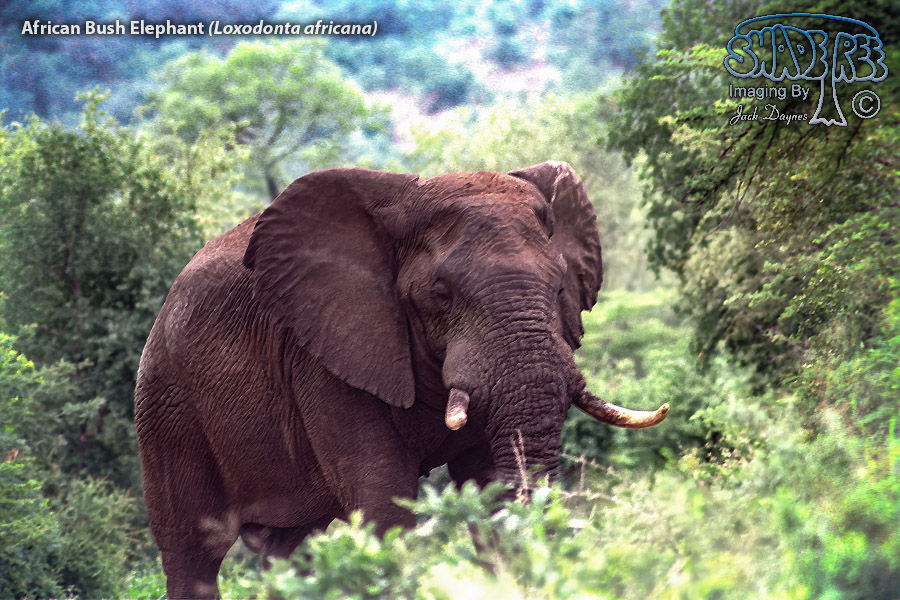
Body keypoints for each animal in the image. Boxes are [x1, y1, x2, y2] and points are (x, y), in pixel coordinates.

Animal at [134, 162, 668, 598]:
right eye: (440, 294)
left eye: (560, 288)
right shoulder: (325, 357)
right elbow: (384, 506)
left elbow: (489, 489)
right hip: (166, 409)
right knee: (194, 553)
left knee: (290, 549)